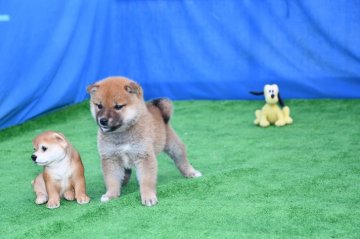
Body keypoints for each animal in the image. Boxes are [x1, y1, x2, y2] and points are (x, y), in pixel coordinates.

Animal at [86, 77, 201, 206]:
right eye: (99, 106)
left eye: (118, 106)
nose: (103, 120)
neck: (122, 134)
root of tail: (158, 110)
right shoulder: (110, 158)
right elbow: (112, 180)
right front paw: (111, 195)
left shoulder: (144, 156)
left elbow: (146, 180)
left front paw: (148, 196)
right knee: (126, 171)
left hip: (173, 146)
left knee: (182, 160)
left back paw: (191, 172)